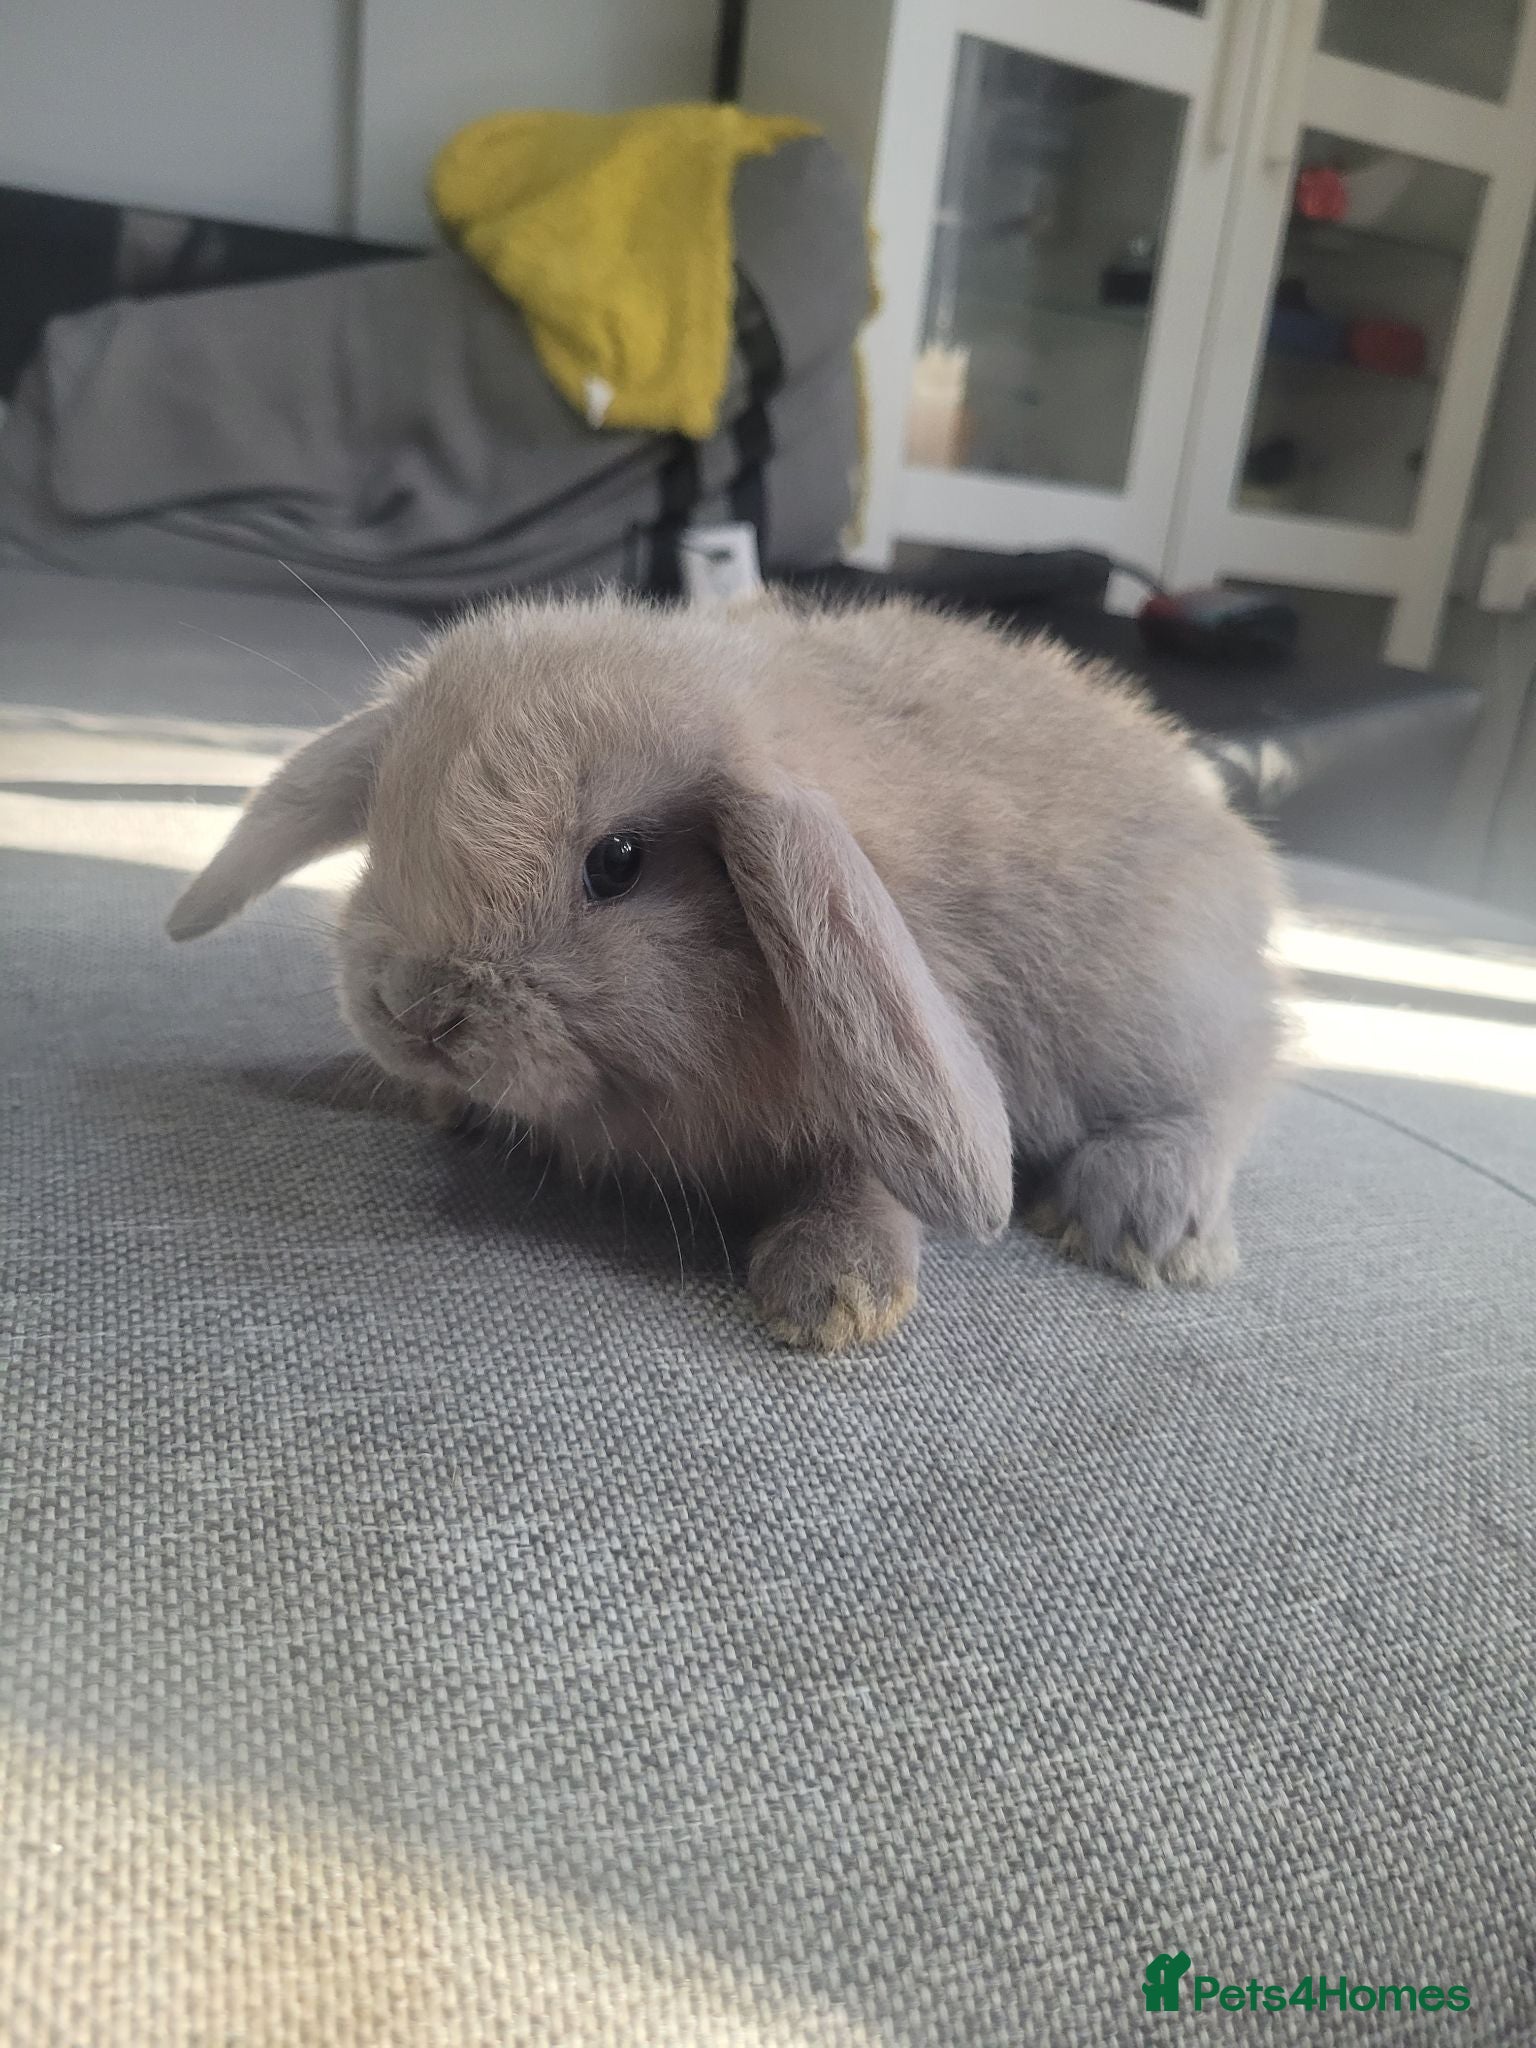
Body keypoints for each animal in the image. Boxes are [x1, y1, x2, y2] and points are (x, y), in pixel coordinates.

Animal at [167, 591, 1281, 1351]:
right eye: (385, 822)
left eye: (617, 862)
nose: (414, 1010)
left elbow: (865, 1174)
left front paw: (831, 1298)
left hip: (1156, 1003)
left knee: (1233, 1081)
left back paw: (1137, 1222)